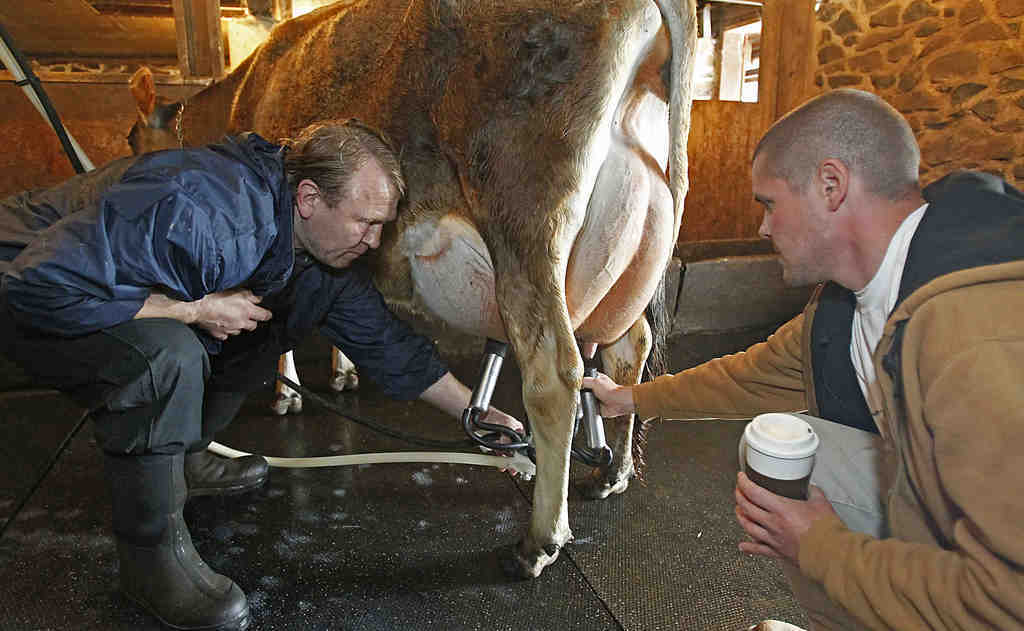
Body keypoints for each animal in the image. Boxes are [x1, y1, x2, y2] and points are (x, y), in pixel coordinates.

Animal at [123, 0, 692, 577]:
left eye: (129, 139)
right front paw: (343, 373)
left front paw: (288, 393)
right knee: (628, 347)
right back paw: (611, 473)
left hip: (524, 223)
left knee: (555, 375)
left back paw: (539, 542)